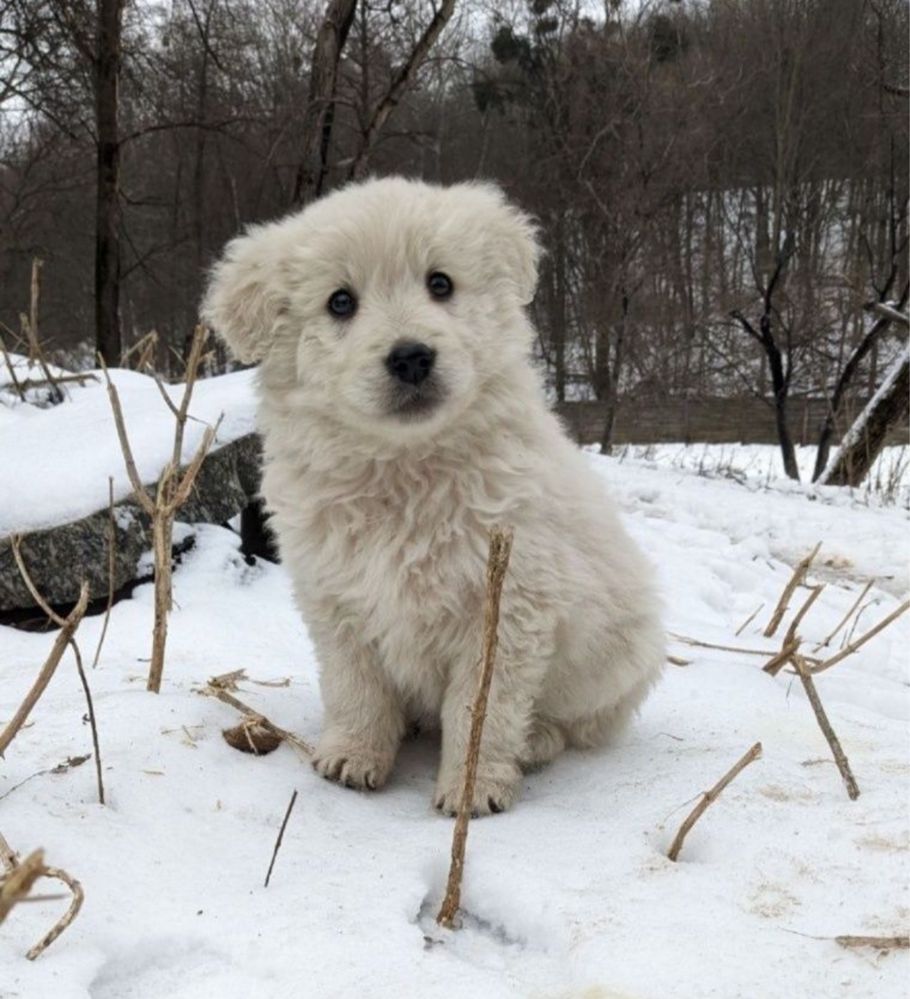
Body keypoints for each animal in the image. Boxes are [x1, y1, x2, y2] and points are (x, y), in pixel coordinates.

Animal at [203, 178, 668, 812]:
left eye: (440, 284)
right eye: (340, 302)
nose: (412, 356)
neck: (403, 468)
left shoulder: (507, 603)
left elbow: (483, 707)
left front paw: (474, 787)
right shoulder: (337, 598)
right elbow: (356, 688)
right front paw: (352, 756)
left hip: (620, 656)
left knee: (583, 721)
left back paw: (538, 740)